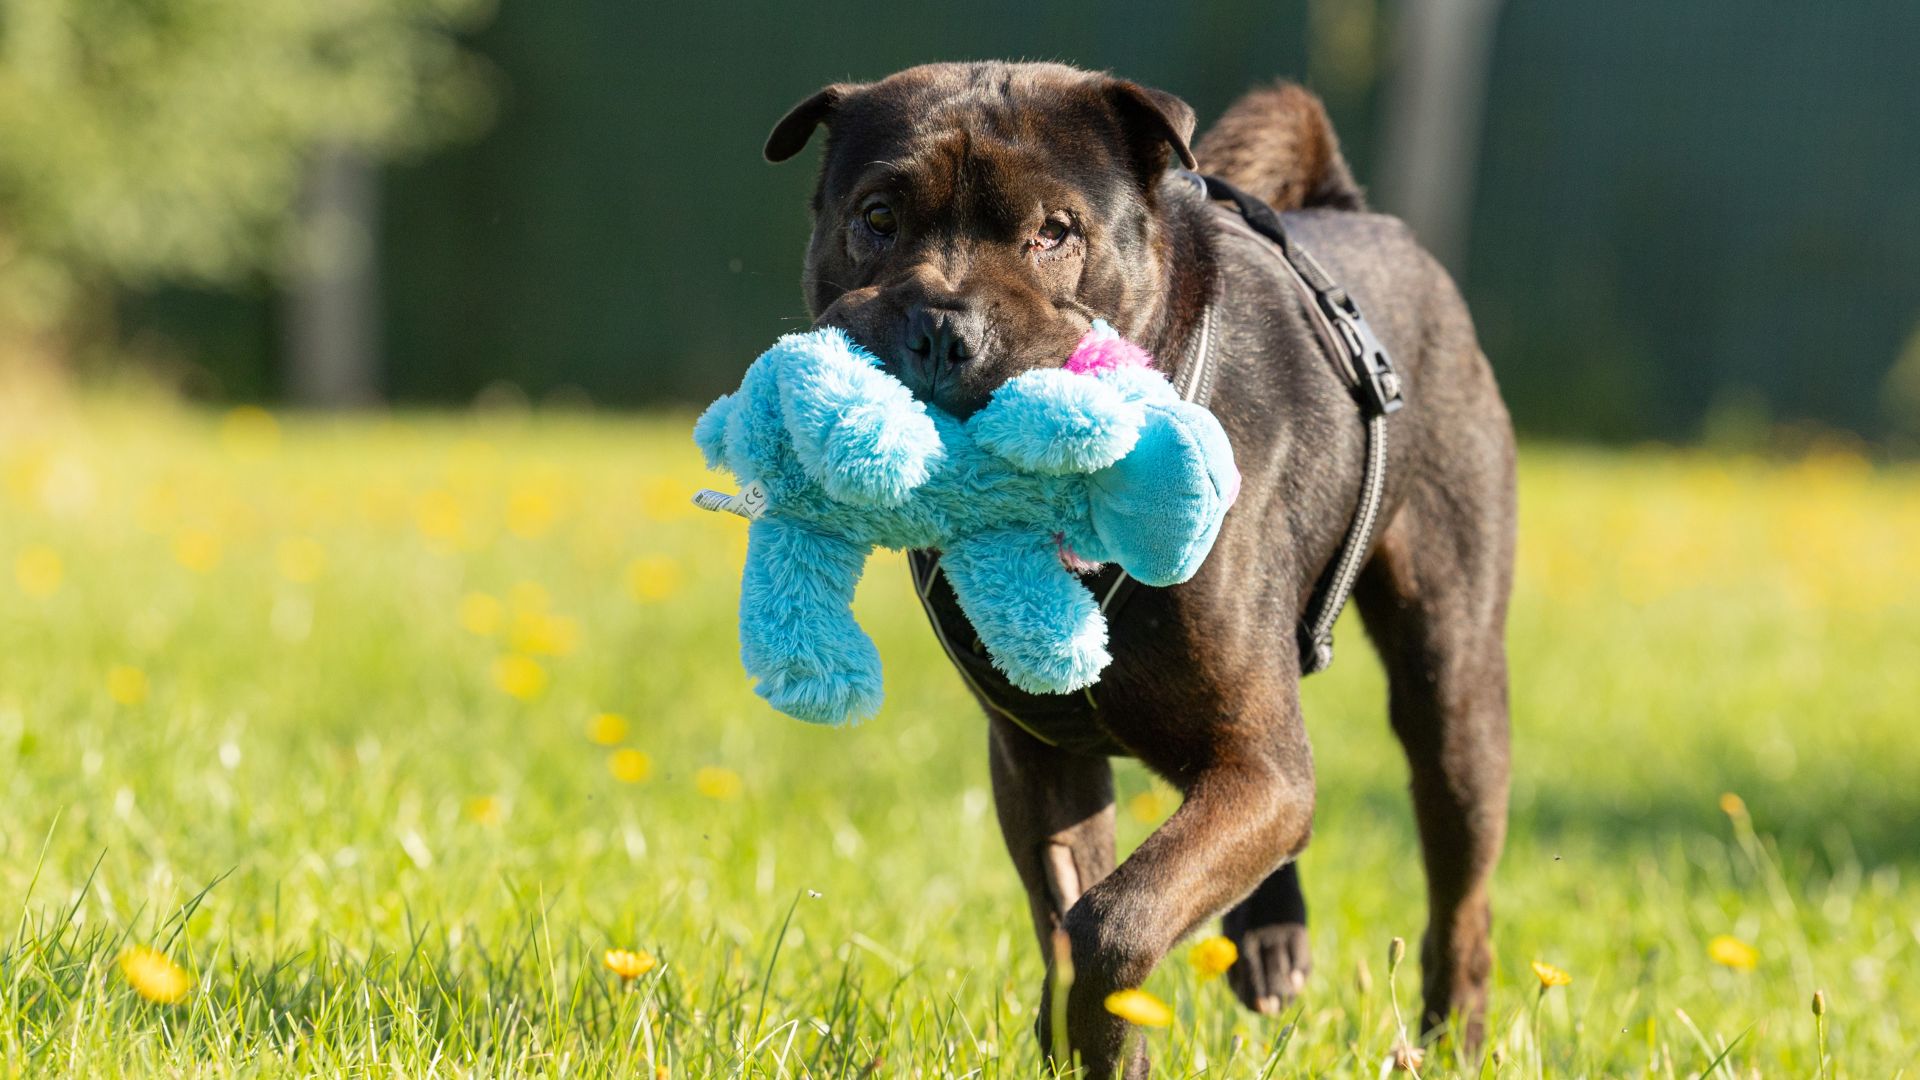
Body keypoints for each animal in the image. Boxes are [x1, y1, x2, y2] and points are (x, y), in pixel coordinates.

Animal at [764, 62, 1512, 1068]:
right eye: (878, 217)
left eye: (1056, 231)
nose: (941, 327)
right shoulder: (1046, 760)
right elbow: (1069, 913)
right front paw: (1090, 1045)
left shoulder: (1256, 770)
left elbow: (1114, 918)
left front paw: (1108, 1036)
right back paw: (1270, 939)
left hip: (1452, 692)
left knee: (1461, 907)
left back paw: (1447, 1043)